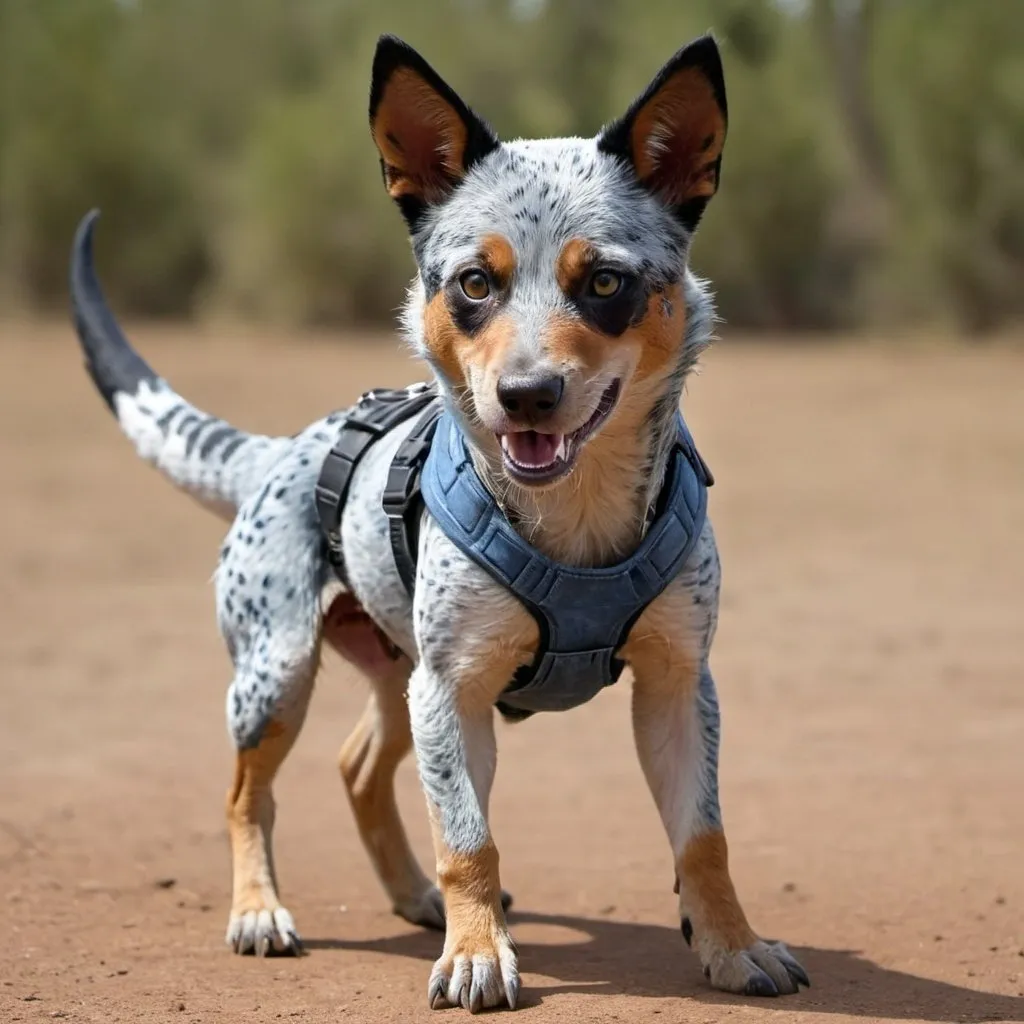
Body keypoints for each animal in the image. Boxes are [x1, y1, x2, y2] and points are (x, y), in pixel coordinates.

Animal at [68, 32, 811, 1015]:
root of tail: (272, 456)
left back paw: (414, 896)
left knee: (356, 769)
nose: (526, 394)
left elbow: (705, 841)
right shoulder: (455, 693)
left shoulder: (679, 686)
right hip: (284, 678)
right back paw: (262, 912)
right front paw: (477, 956)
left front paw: (734, 948)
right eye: (474, 283)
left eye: (605, 281)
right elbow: (469, 837)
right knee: (246, 798)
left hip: (398, 678)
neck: (575, 522)